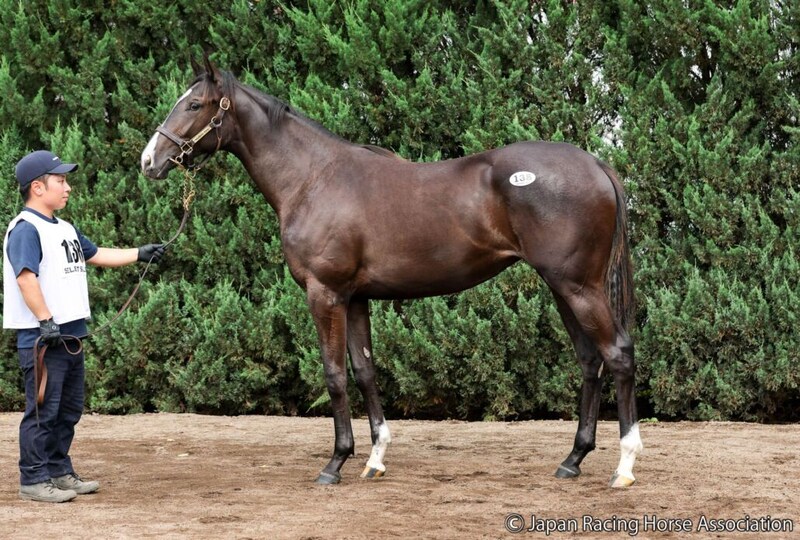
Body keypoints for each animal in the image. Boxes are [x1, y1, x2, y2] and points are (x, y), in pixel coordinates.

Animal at [141, 57, 642, 488]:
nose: (149, 161)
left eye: (194, 104)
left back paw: (624, 466)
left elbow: (335, 375)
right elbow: (365, 371)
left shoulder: (325, 294)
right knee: (590, 360)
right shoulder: (356, 298)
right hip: (563, 288)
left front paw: (335, 463)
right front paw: (375, 458)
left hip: (578, 287)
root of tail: (595, 164)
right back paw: (573, 459)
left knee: (617, 353)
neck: (313, 179)